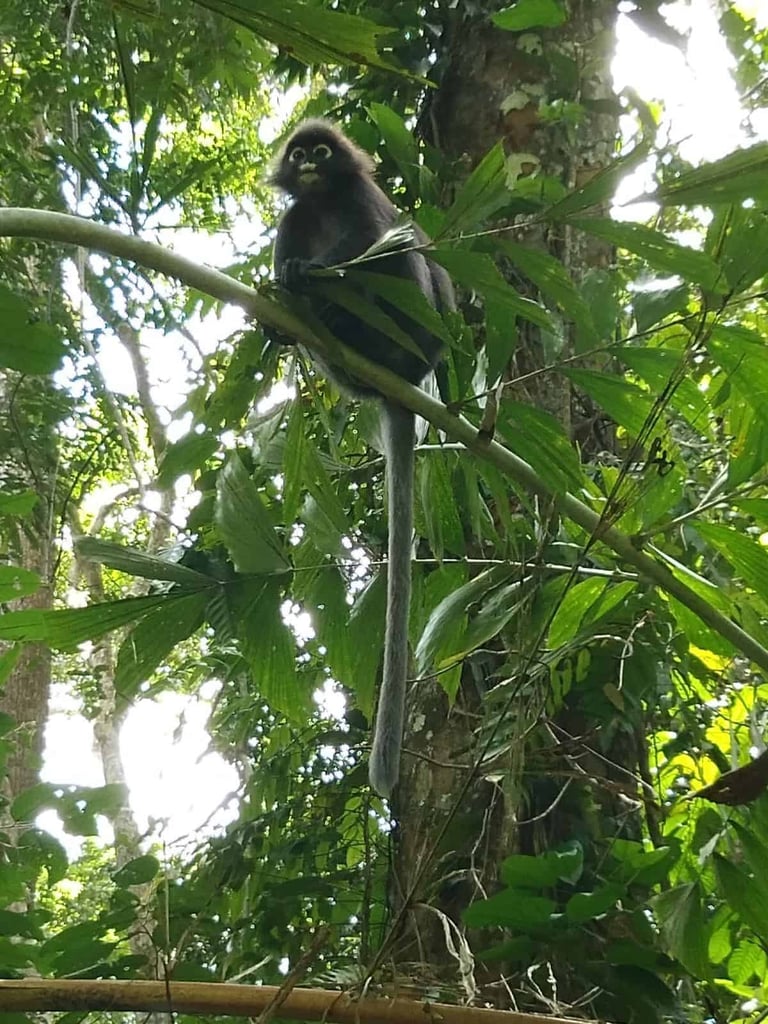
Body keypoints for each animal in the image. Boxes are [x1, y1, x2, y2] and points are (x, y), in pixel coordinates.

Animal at [268, 117, 454, 790]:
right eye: (299, 154)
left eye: (322, 151)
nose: (309, 160)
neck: (323, 200)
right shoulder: (295, 215)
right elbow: (290, 243)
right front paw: (287, 290)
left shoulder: (359, 202)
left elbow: (374, 243)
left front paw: (310, 272)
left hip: (419, 327)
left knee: (405, 254)